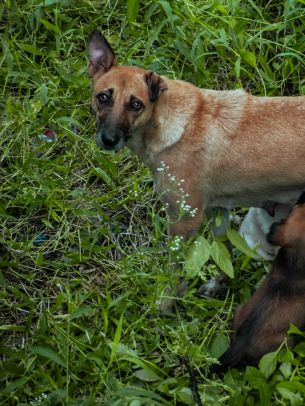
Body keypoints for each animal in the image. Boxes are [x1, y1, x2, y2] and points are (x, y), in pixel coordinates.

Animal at [86, 32, 304, 304]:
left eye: (136, 104)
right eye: (103, 97)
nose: (109, 139)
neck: (166, 125)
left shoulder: (185, 220)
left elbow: (175, 271)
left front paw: (170, 302)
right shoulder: (217, 211)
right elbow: (224, 256)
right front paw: (218, 286)